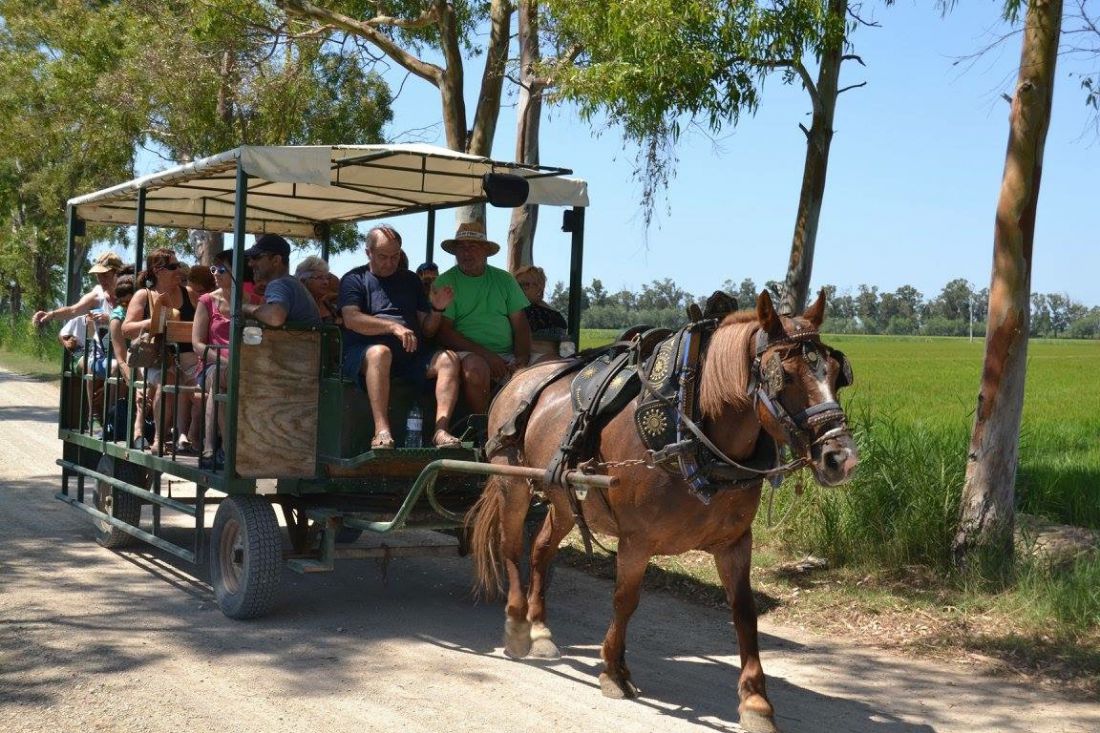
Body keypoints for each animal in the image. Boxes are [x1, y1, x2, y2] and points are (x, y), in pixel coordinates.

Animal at [464, 290, 858, 730]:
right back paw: (517, 625)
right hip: (511, 482)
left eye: (836, 373)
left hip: (564, 498)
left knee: (541, 549)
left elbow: (744, 613)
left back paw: (541, 630)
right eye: (784, 376)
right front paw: (613, 670)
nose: (841, 458)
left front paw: (755, 701)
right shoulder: (636, 540)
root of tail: (520, 376)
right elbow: (625, 600)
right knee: (511, 546)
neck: (689, 431)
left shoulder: (735, 542)